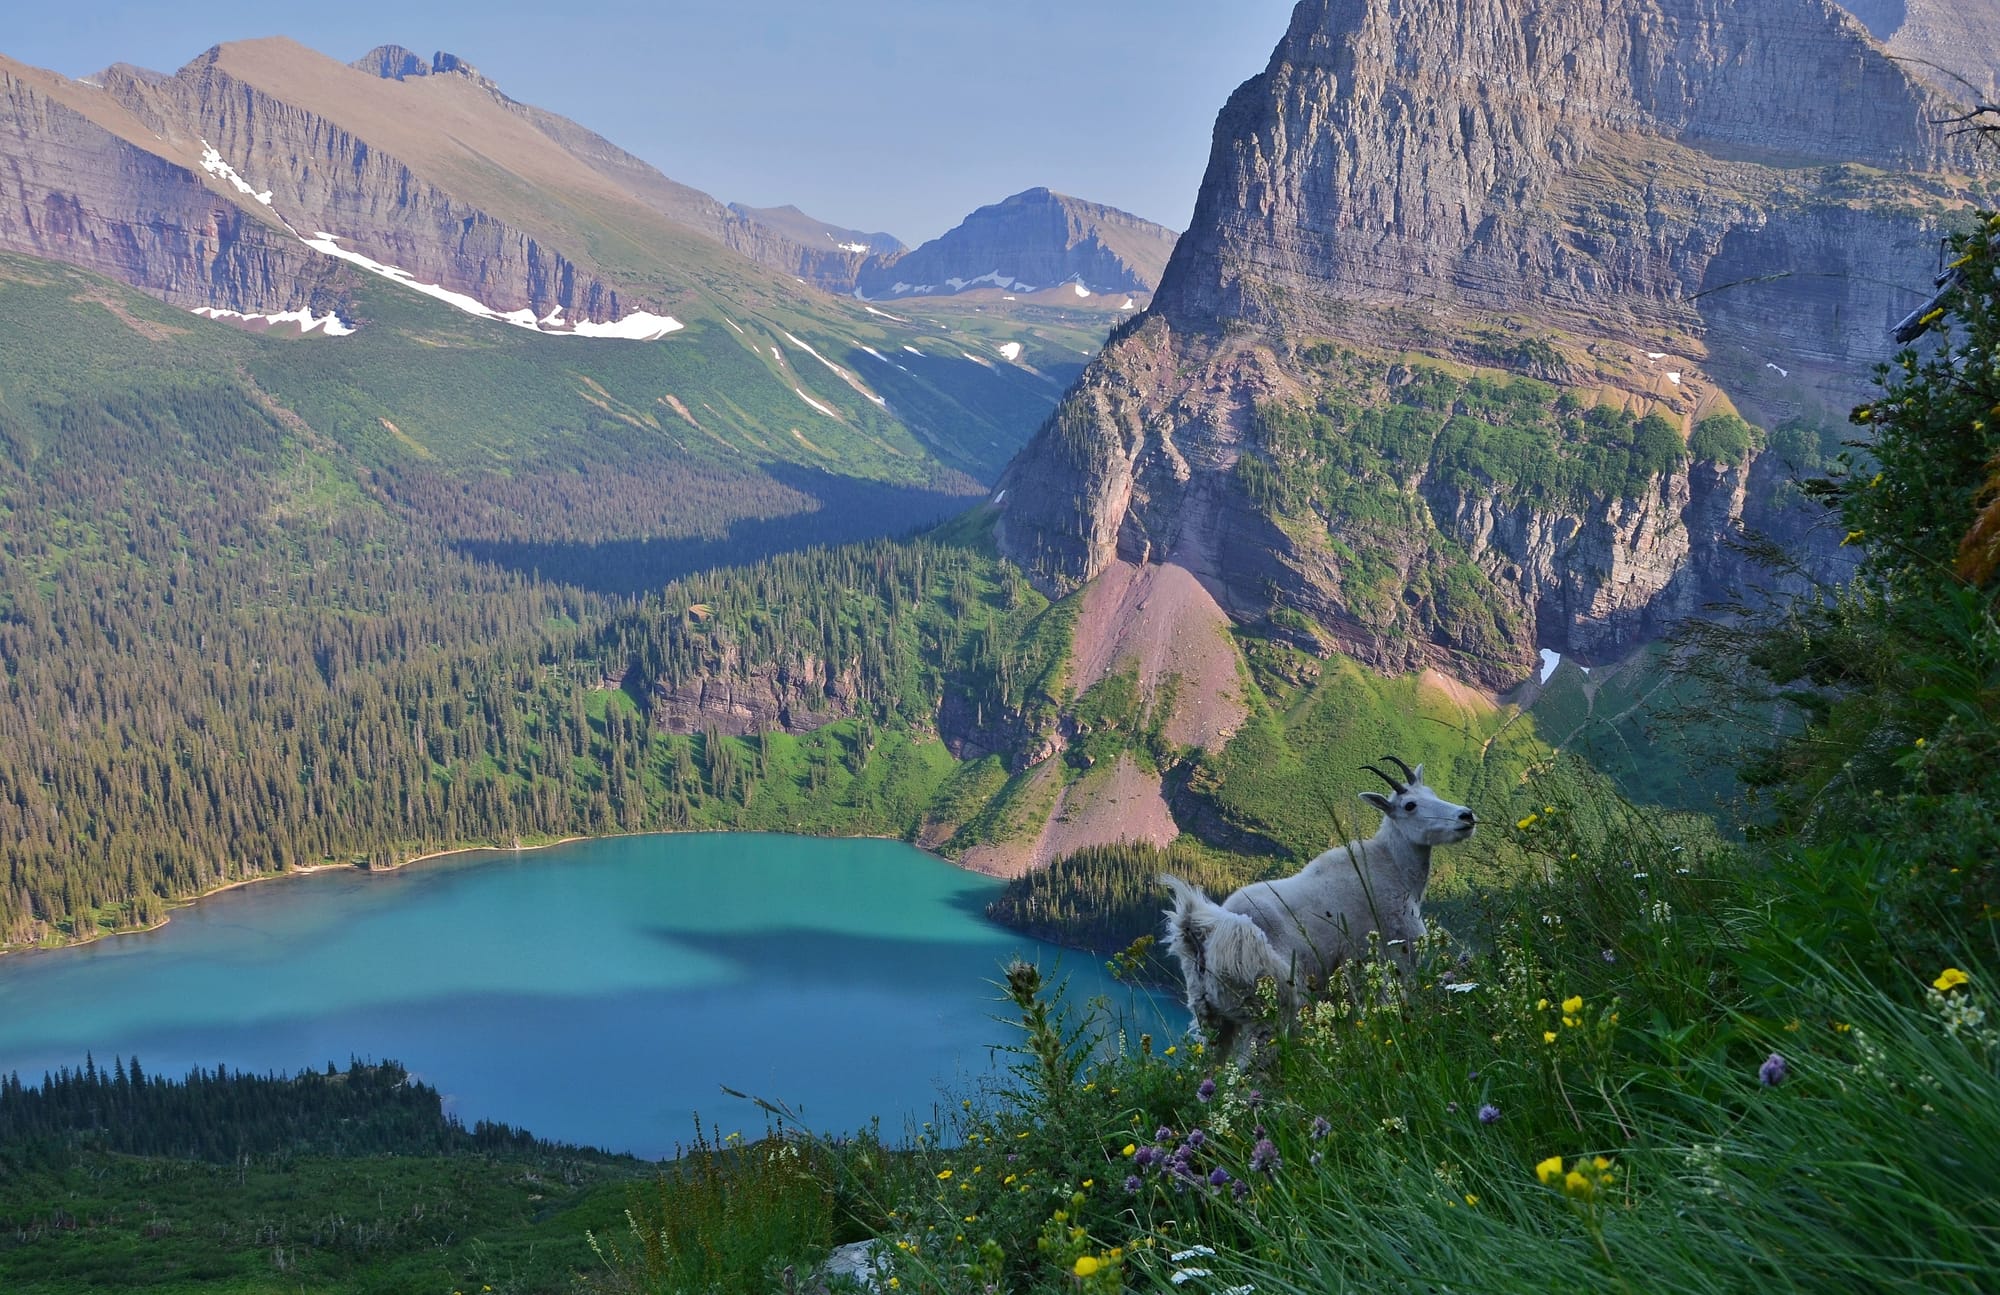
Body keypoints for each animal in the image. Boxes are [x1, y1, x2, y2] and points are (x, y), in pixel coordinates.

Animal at [1168, 755, 1480, 1055]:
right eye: (1410, 805)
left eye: (1432, 792)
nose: (1466, 816)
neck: (1392, 866)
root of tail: (1197, 935)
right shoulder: (1385, 953)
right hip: (1269, 1005)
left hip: (1214, 1022)